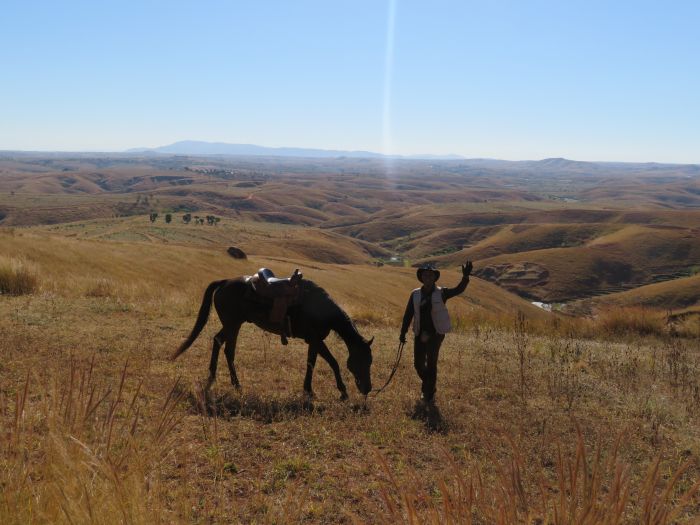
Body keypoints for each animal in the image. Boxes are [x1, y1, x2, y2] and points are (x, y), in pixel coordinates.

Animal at [172, 274, 374, 398]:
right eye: (361, 361)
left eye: (370, 361)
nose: (368, 389)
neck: (320, 308)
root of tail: (225, 282)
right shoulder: (316, 340)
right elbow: (333, 363)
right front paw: (343, 392)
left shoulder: (313, 341)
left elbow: (311, 363)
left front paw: (308, 390)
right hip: (233, 324)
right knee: (229, 350)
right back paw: (236, 384)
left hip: (231, 325)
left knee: (217, 341)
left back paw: (213, 376)